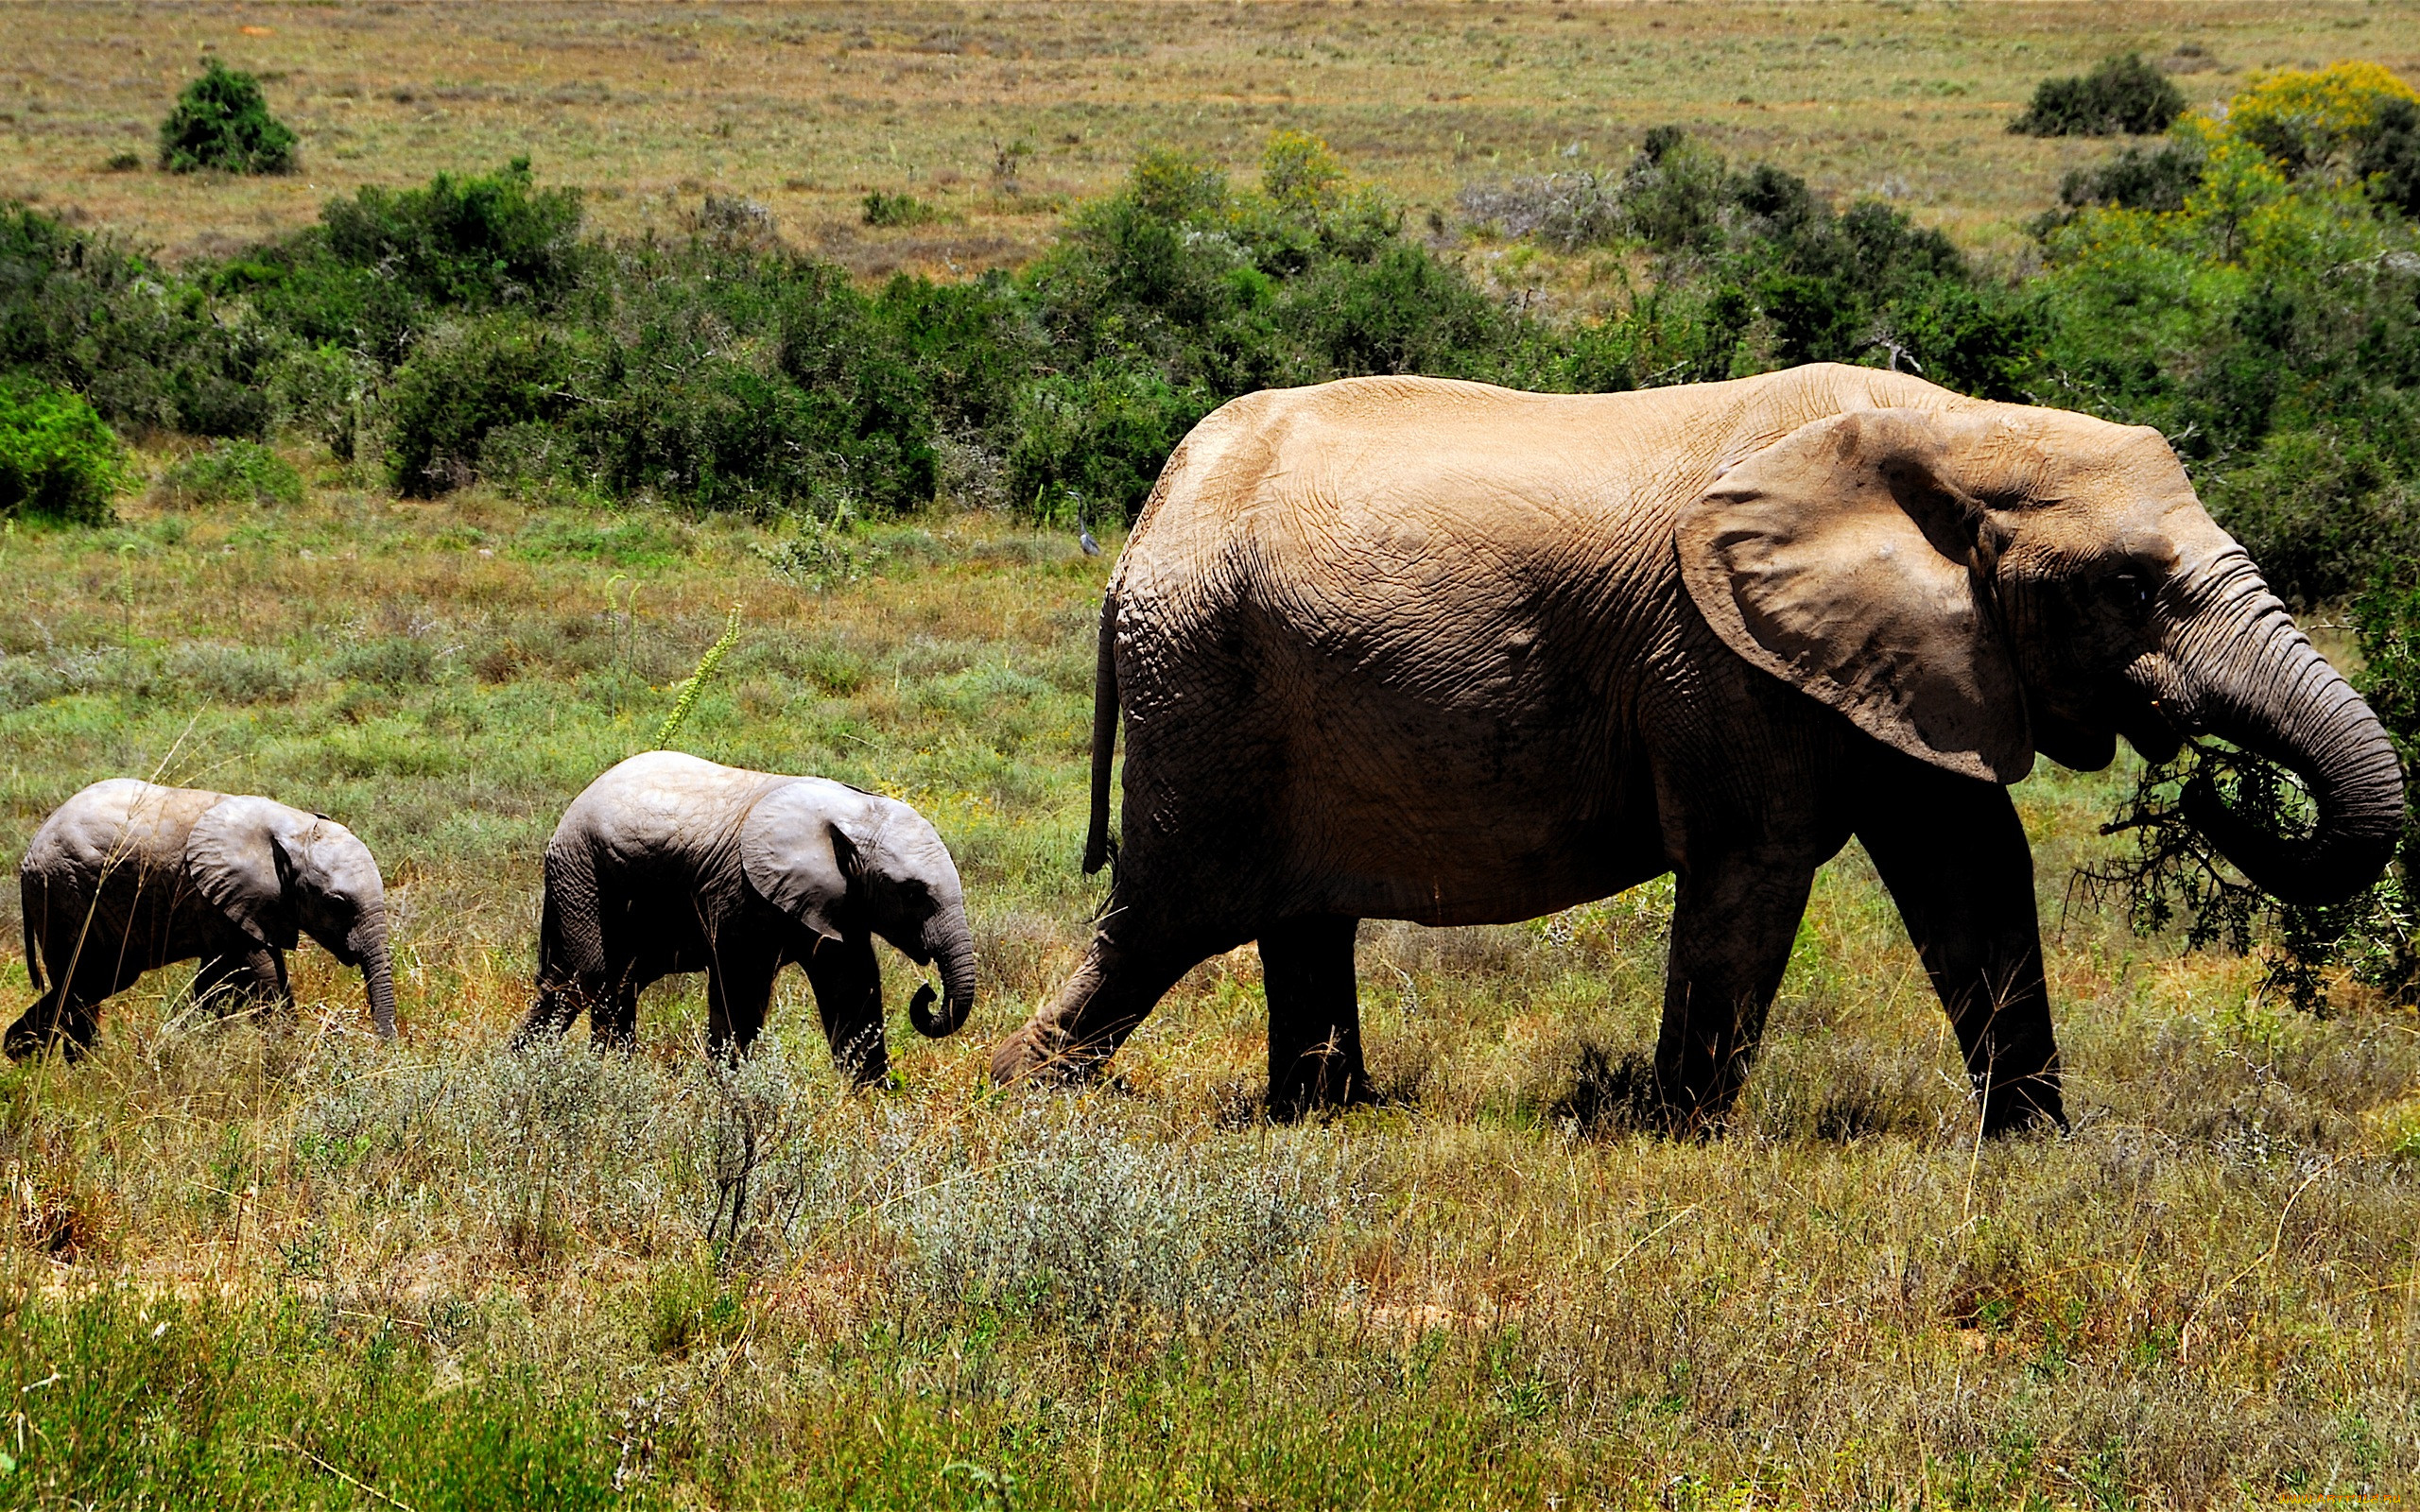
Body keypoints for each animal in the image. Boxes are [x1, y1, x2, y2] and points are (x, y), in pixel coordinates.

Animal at [9, 783, 396, 1055]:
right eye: (336, 903)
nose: (384, 1049)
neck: (292, 827)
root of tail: (27, 856)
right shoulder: (220, 896)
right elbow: (261, 973)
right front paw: (287, 1049)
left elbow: (217, 981)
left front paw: (185, 1038)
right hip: (64, 894)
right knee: (79, 987)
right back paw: (88, 1069)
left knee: (92, 983)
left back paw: (18, 1054)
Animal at [520, 749, 982, 1078]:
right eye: (913, 893)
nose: (927, 993)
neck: (853, 812)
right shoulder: (739, 893)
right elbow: (740, 991)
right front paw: (729, 1089)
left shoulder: (837, 899)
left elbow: (851, 988)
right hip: (582, 875)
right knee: (583, 980)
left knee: (607, 986)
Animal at [992, 360, 2410, 1126]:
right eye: (2127, 587)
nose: (2213, 783)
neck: (1953, 427)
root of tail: (1144, 523)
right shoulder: (1724, 659)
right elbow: (1755, 862)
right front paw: (1676, 1136)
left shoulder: (1902, 649)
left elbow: (1973, 866)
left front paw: (2033, 1150)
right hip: (1206, 684)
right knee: (1164, 917)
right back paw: (1024, 1096)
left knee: (1289, 919)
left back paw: (1324, 1117)